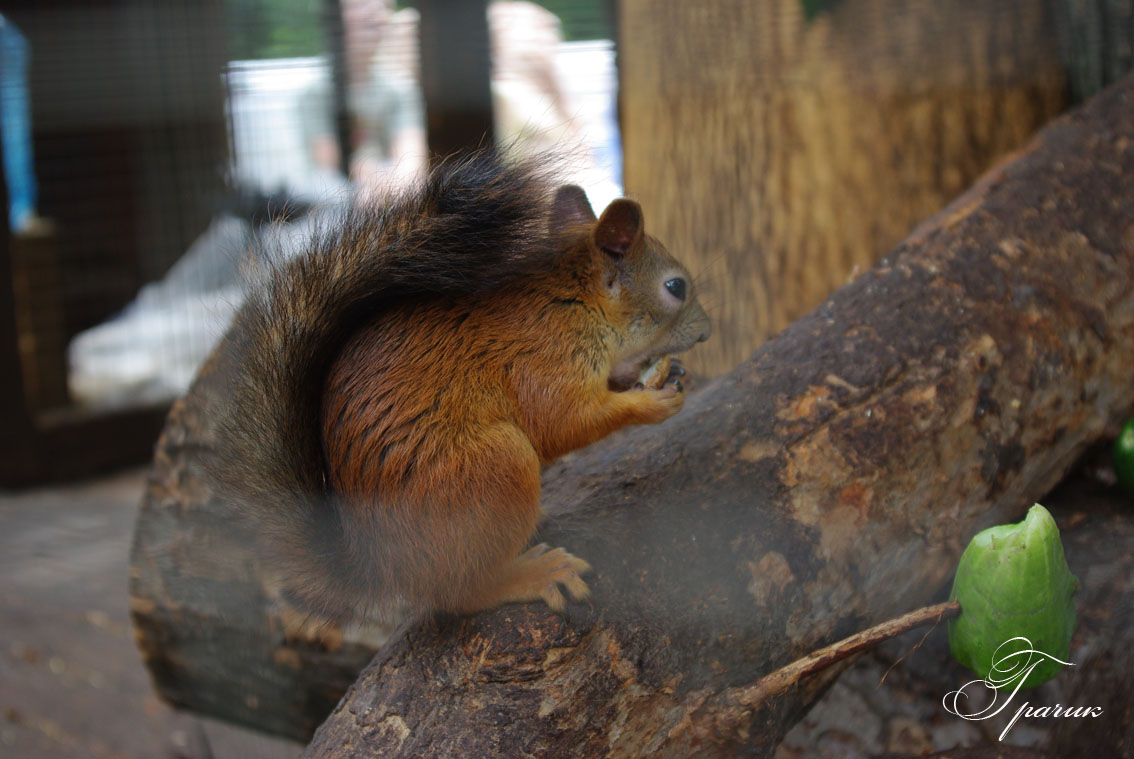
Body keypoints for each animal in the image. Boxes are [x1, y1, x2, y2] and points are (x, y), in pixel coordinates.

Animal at [210, 154, 707, 621]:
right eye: (675, 287)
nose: (706, 329)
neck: (572, 304)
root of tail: (380, 569)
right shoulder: (544, 360)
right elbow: (563, 422)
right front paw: (650, 402)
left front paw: (662, 372)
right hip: (492, 468)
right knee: (461, 594)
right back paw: (533, 574)